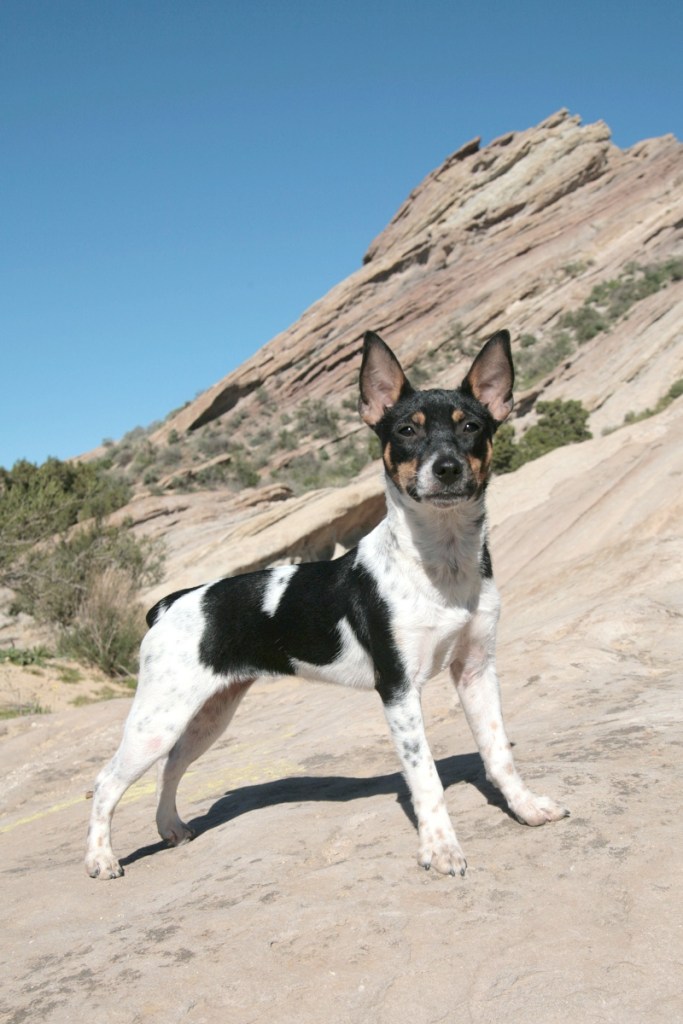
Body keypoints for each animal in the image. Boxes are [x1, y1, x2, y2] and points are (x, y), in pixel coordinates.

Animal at [85, 329, 569, 880]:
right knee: (106, 781)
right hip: (159, 719)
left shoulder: (476, 670)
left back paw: (171, 829)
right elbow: (425, 777)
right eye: (406, 430)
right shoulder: (398, 689)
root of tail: (170, 604)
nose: (445, 469)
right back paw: (100, 859)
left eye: (471, 427)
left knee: (171, 769)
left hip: (207, 715)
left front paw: (526, 808)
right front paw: (441, 848)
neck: (439, 565)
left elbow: (498, 752)